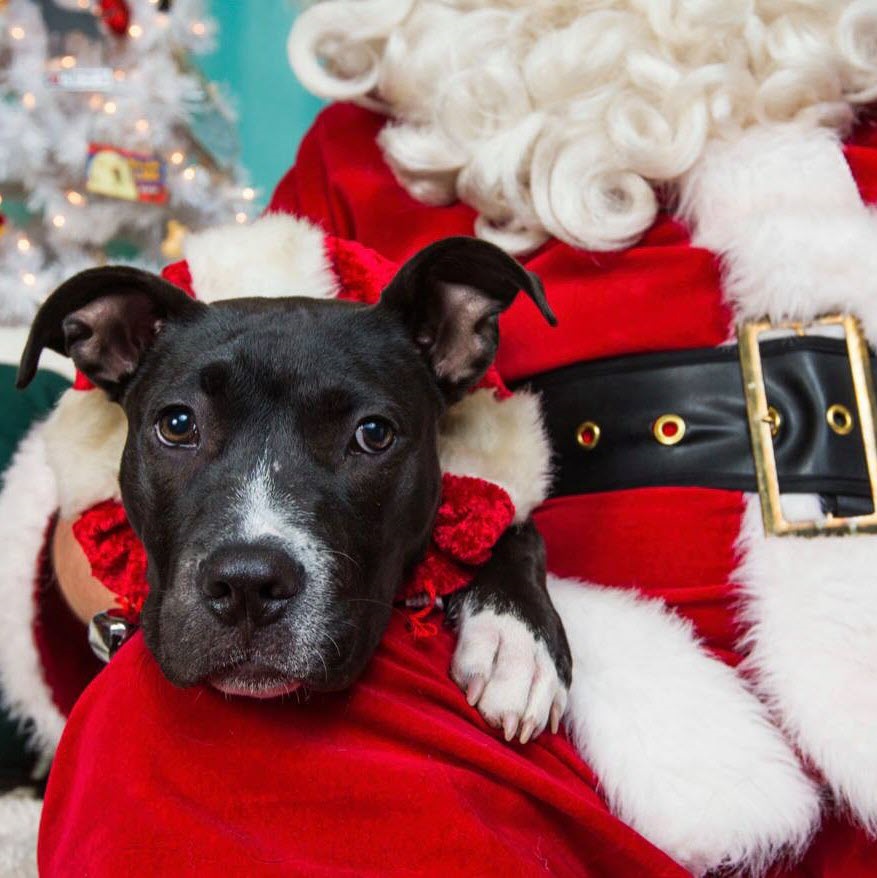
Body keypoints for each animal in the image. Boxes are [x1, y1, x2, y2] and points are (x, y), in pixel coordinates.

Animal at [20, 235, 572, 744]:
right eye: (177, 424)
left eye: (374, 434)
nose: (247, 584)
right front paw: (514, 640)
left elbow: (516, 526)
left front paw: (516, 642)